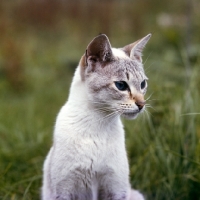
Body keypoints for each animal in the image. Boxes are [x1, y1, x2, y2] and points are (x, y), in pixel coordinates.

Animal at [42, 33, 152, 200]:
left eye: (142, 84)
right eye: (121, 85)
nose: (141, 104)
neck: (97, 122)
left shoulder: (115, 189)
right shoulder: (64, 190)